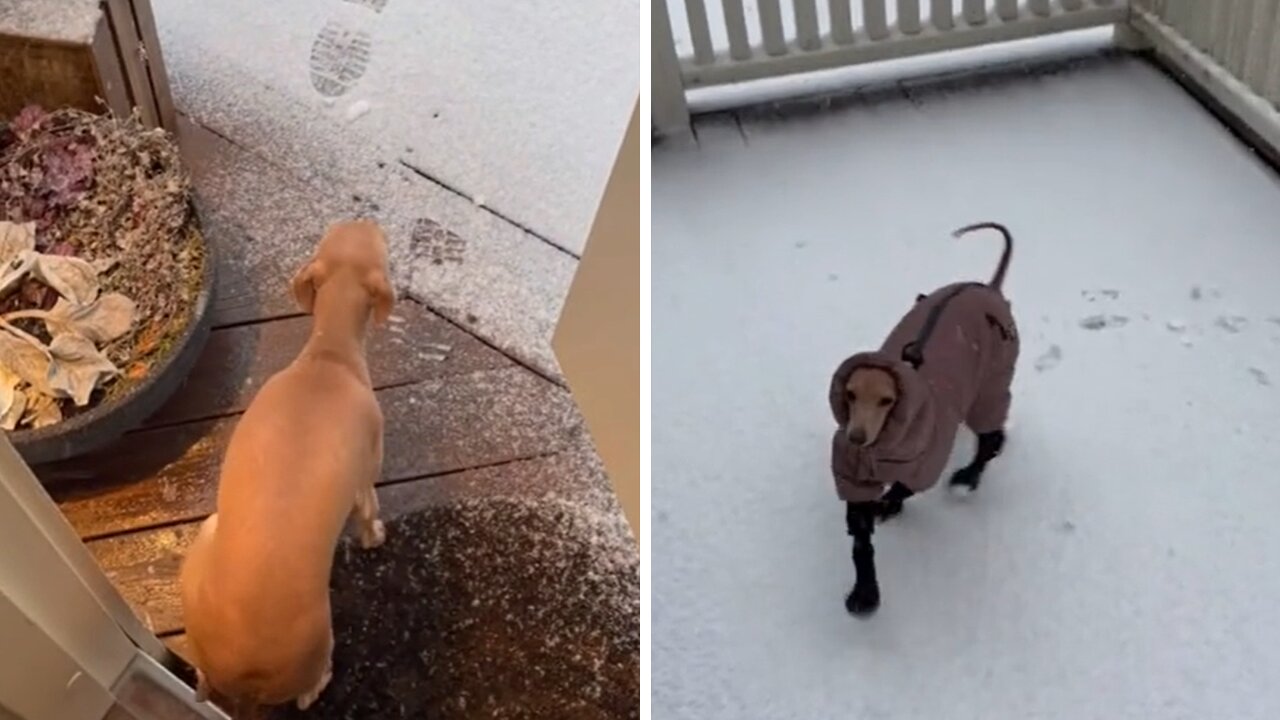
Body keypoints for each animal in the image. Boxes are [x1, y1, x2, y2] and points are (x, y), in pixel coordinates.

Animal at [177, 219, 391, 712]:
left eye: (338, 230)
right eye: (381, 244)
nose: (368, 218)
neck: (328, 358)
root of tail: (245, 669)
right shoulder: (366, 475)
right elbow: (368, 514)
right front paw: (375, 536)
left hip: (205, 541)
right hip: (319, 642)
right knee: (309, 694)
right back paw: (323, 679)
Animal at [829, 221, 1018, 614]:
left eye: (887, 400)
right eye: (850, 395)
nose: (856, 438)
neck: (881, 449)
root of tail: (988, 287)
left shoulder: (928, 457)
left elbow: (906, 487)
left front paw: (891, 503)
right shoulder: (852, 475)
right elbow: (860, 538)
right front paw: (865, 592)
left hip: (992, 382)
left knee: (992, 439)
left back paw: (968, 477)